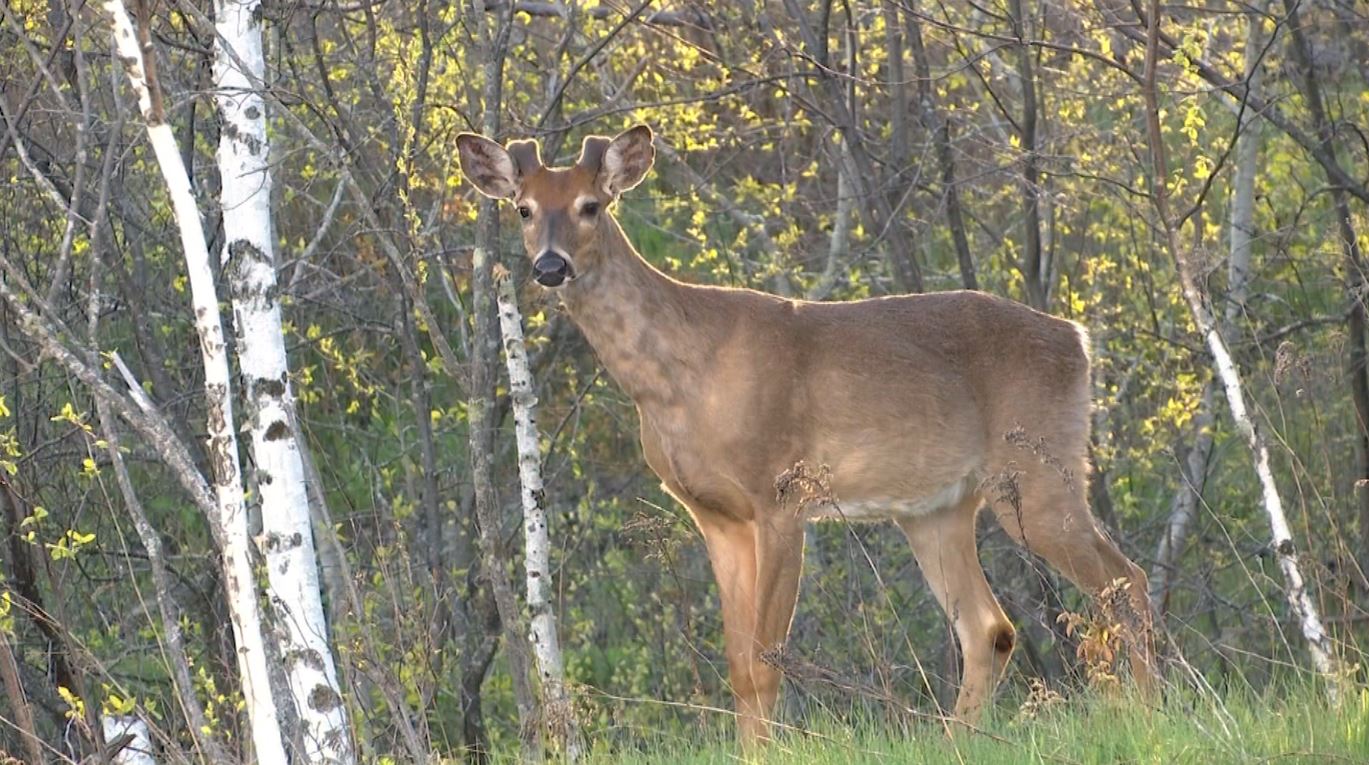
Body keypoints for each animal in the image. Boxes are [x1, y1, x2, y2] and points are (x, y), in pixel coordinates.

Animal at [457, 124, 1155, 744]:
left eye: (590, 205)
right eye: (523, 208)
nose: (550, 265)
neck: (680, 378)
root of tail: (1078, 339)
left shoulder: (780, 493)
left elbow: (766, 661)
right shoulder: (714, 515)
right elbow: (738, 668)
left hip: (1037, 468)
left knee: (1126, 584)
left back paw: (1142, 710)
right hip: (938, 508)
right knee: (990, 628)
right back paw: (961, 739)